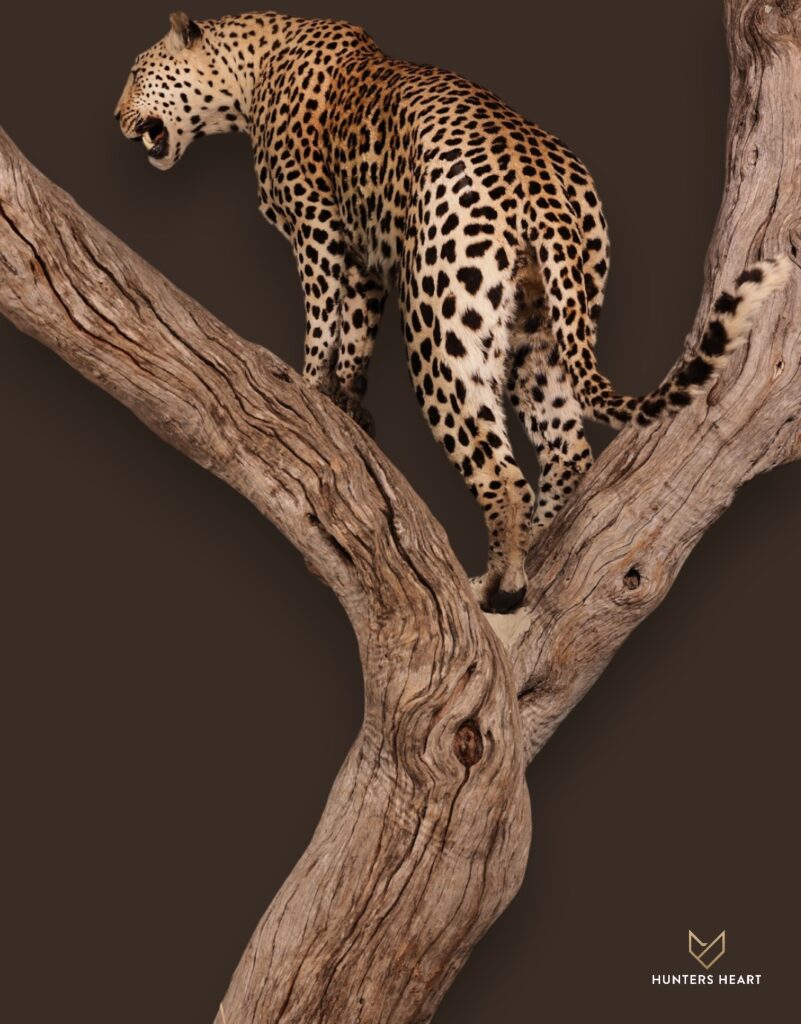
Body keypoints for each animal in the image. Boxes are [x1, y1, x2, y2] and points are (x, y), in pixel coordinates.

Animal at [115, 11, 788, 613]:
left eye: (136, 72)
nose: (117, 118)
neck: (250, 73)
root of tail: (543, 182)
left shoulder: (318, 230)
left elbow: (322, 318)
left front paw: (305, 388)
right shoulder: (367, 256)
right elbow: (354, 335)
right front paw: (346, 405)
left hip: (442, 328)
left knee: (502, 473)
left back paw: (498, 586)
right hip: (543, 331)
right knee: (567, 450)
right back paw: (536, 555)